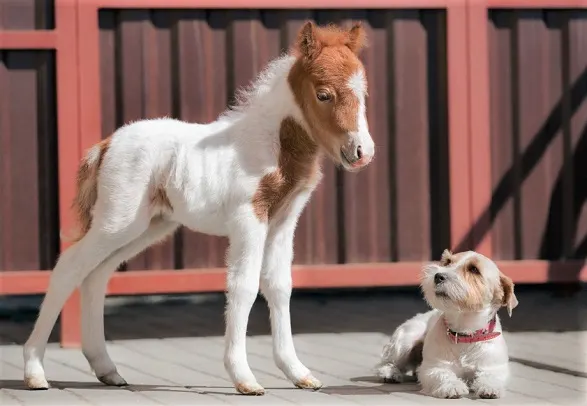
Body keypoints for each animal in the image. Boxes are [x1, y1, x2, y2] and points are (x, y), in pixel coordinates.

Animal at [376, 249, 520, 398]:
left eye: (474, 269)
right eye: (447, 262)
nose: (438, 276)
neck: (465, 332)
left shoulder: (494, 367)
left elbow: (491, 376)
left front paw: (490, 387)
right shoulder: (433, 367)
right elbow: (443, 374)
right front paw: (453, 386)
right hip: (405, 341)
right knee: (387, 362)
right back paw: (390, 373)